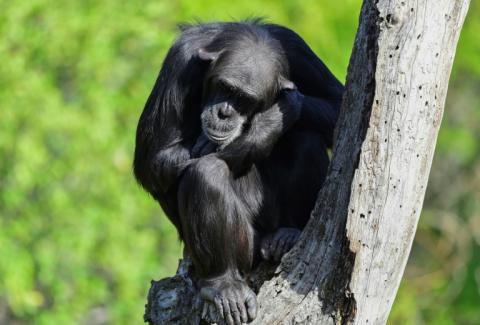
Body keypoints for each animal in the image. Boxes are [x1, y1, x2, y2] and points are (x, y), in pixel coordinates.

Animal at [135, 20, 344, 324]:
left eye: (244, 99)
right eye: (225, 87)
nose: (224, 113)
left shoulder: (296, 48)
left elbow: (338, 103)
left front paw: (279, 111)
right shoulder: (179, 62)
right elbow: (153, 158)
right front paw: (267, 124)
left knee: (306, 136)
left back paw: (288, 234)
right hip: (246, 245)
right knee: (205, 174)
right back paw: (224, 285)